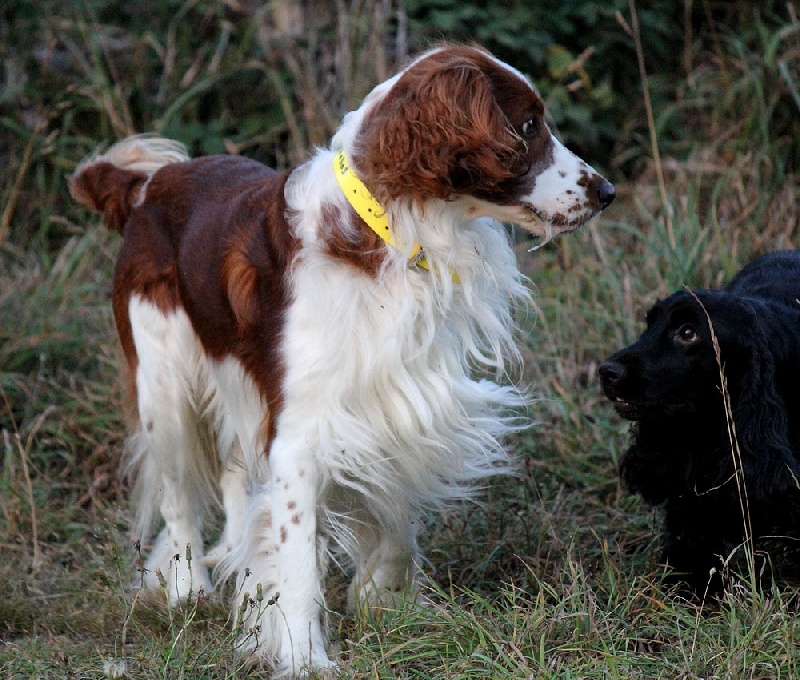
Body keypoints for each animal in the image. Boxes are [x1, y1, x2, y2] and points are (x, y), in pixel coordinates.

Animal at [72, 45, 616, 676]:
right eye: (528, 126)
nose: (606, 190)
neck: (392, 233)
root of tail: (147, 185)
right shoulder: (301, 429)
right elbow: (297, 557)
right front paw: (303, 655)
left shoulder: (401, 405)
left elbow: (396, 515)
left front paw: (386, 600)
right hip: (164, 384)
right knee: (177, 495)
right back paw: (189, 591)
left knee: (234, 474)